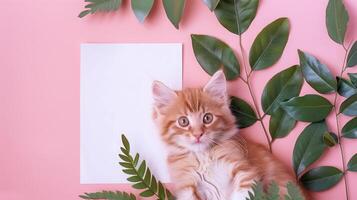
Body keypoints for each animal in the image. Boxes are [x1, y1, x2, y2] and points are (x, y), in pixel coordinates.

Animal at [151, 70, 306, 198]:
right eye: (183, 121)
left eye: (207, 118)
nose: (198, 134)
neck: (203, 157)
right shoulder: (187, 186)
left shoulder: (244, 172)